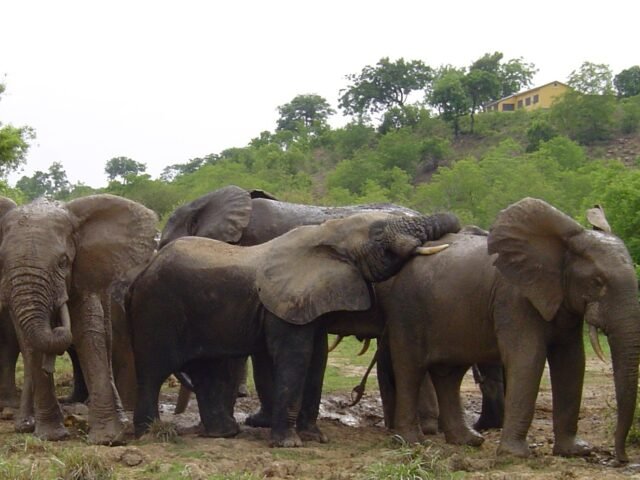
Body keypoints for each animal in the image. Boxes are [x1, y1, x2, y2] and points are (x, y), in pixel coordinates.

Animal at [0, 195, 157, 444]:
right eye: (2, 262)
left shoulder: (84, 273)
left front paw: (106, 439)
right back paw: (25, 424)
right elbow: (30, 341)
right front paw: (51, 436)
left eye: (63, 262)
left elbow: (88, 335)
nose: (58, 326)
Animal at [127, 210, 460, 447]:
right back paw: (151, 435)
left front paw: (316, 438)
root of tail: (144, 270)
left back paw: (224, 434)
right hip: (156, 310)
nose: (456, 225)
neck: (327, 232)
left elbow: (317, 359)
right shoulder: (286, 304)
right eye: (379, 234)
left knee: (204, 369)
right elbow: (296, 357)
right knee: (153, 371)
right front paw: (289, 444)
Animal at [381, 198, 639, 463]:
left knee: (450, 374)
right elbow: (528, 359)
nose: (621, 458)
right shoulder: (514, 299)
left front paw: (575, 451)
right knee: (410, 369)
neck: (558, 248)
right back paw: (411, 442)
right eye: (597, 282)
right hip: (407, 309)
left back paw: (468, 441)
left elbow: (572, 361)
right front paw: (515, 455)